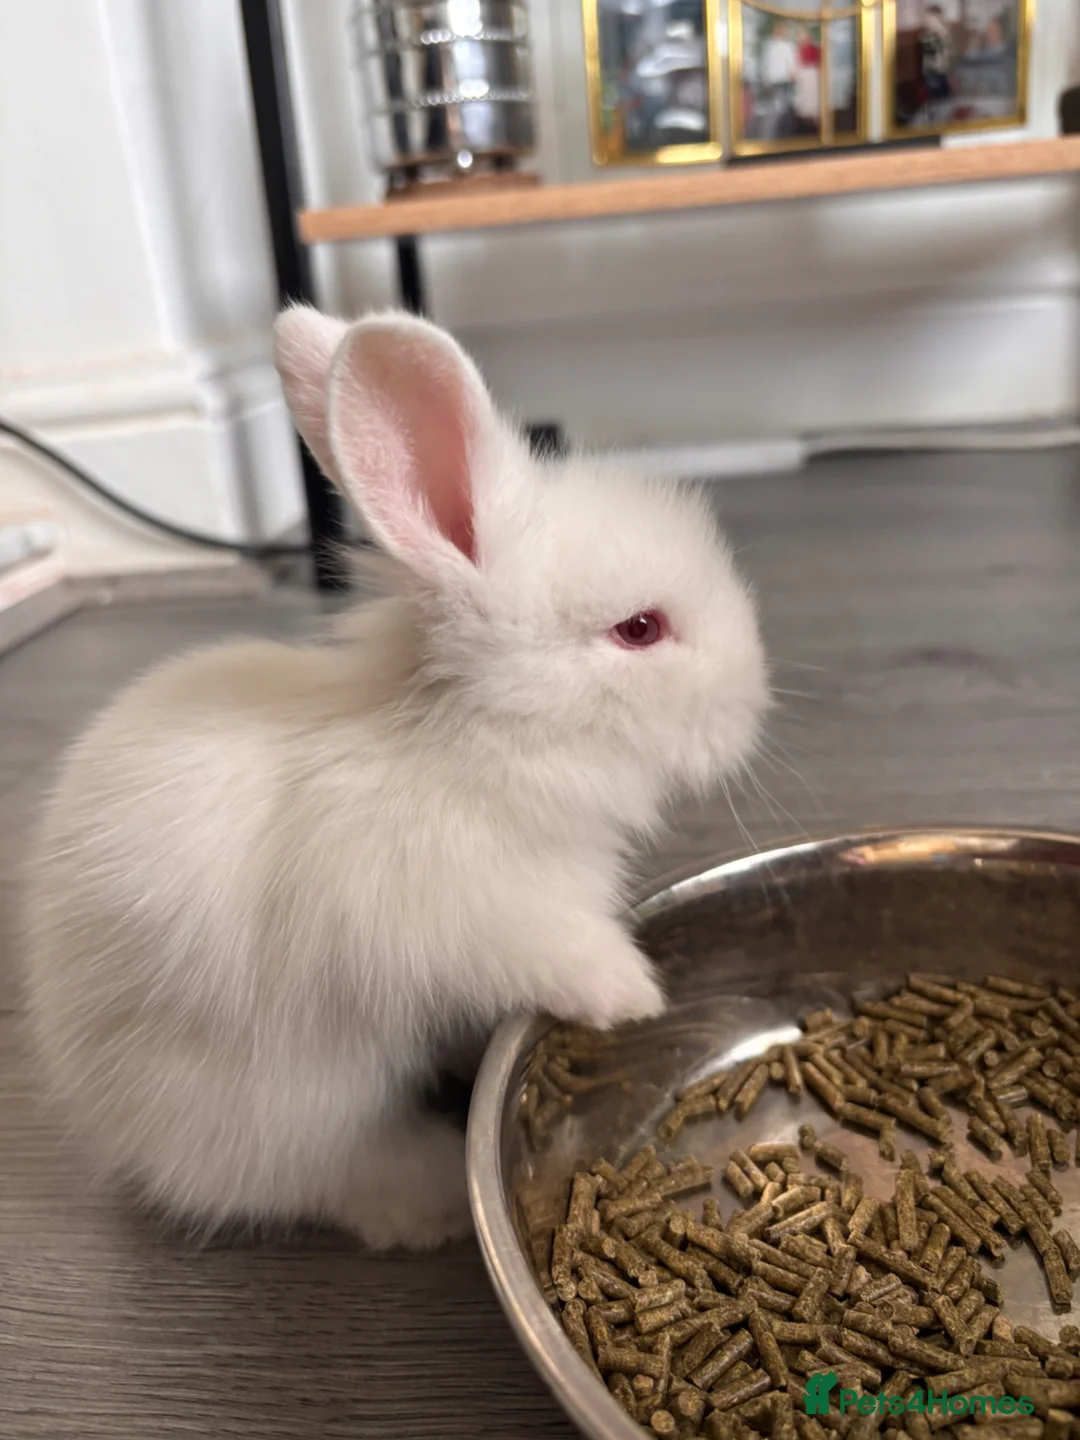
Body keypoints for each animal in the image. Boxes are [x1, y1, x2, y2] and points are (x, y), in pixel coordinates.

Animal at [22, 306, 769, 1250]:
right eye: (639, 629)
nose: (755, 701)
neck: (475, 733)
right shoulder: (466, 909)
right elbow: (551, 949)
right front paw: (631, 993)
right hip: (298, 1103)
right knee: (321, 1178)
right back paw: (436, 1201)